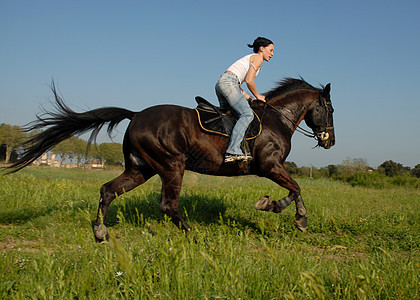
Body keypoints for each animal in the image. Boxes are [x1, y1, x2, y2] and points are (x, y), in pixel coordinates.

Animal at [5, 78, 334, 241]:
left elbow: (295, 188)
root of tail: (136, 115)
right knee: (167, 205)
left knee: (108, 190)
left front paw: (282, 211)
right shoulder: (269, 166)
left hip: (141, 169)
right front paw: (288, 214)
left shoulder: (272, 168)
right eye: (329, 109)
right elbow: (296, 189)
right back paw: (193, 236)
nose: (329, 141)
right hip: (171, 165)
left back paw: (101, 232)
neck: (277, 119)